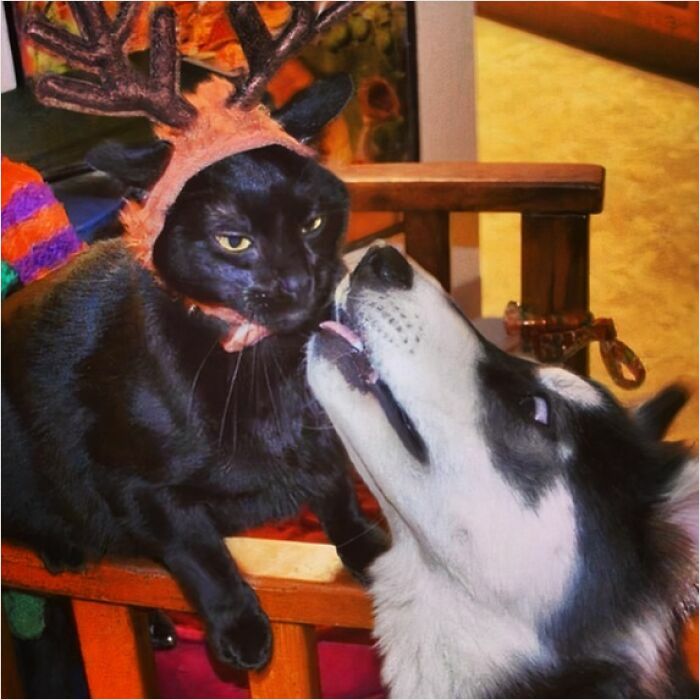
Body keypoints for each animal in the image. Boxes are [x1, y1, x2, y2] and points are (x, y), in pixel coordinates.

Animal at [2, 74, 386, 668]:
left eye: (313, 223)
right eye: (234, 240)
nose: (300, 284)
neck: (265, 363)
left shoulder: (322, 439)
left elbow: (337, 492)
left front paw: (372, 551)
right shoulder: (135, 487)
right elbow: (198, 551)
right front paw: (240, 626)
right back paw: (62, 546)